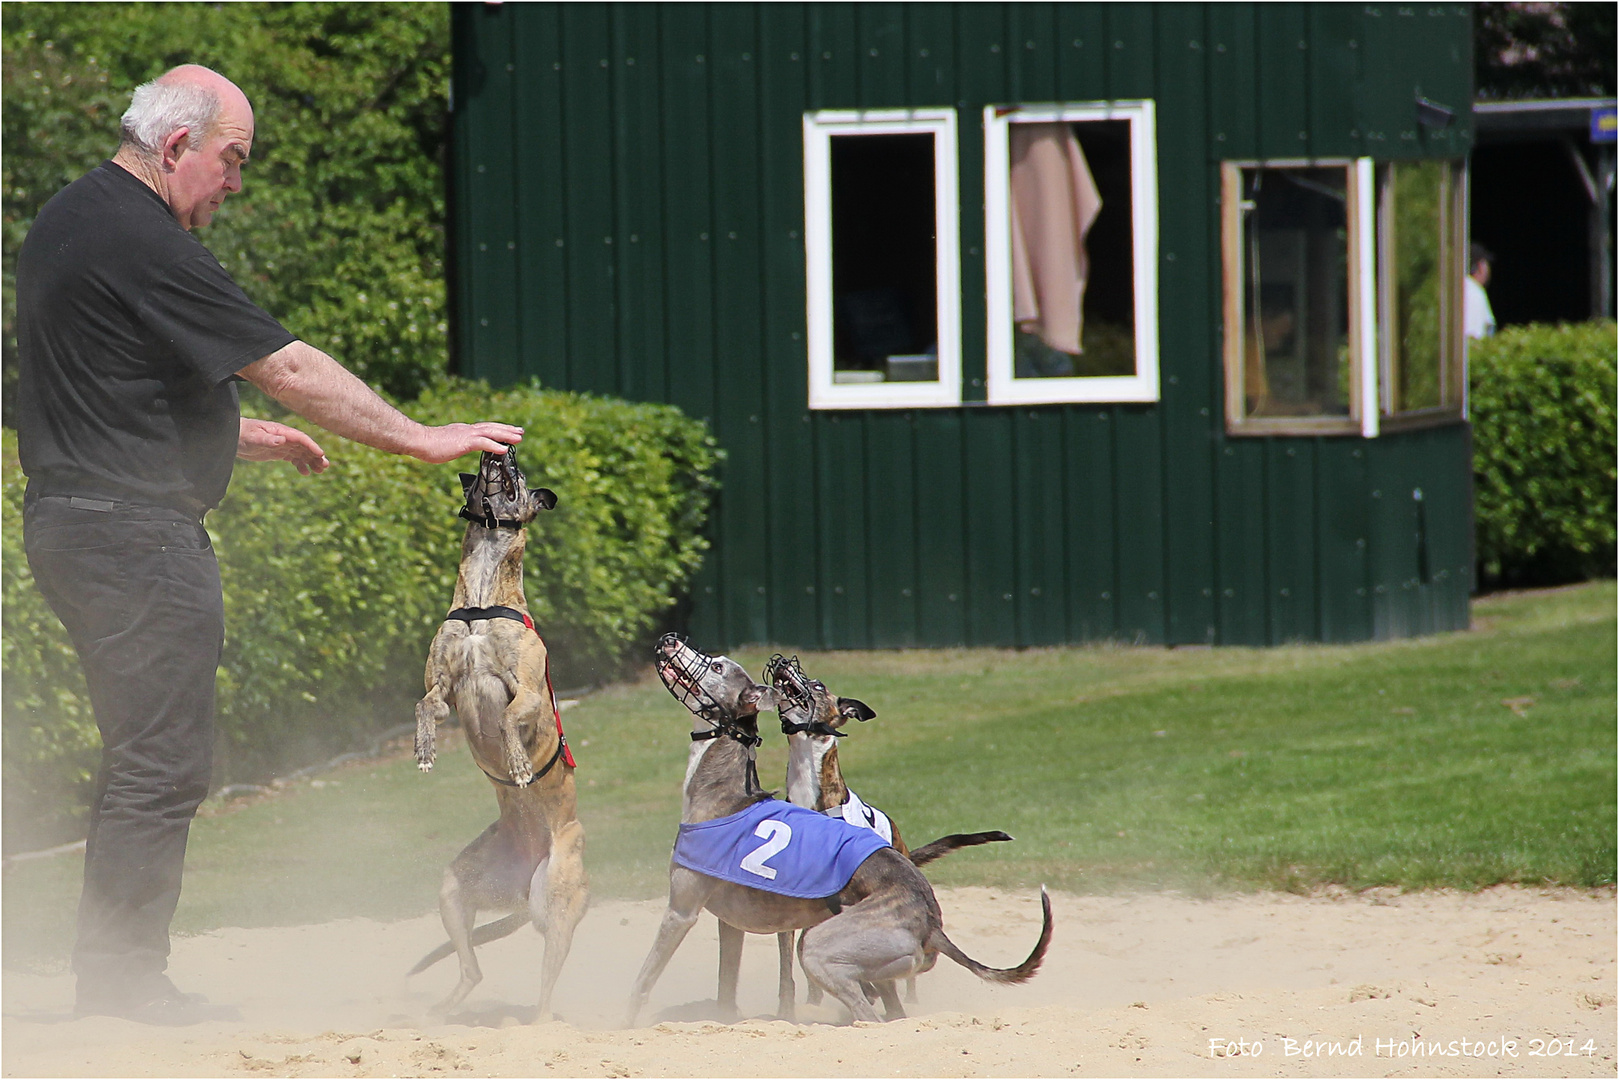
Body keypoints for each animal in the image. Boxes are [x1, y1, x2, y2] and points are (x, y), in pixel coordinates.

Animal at [404, 446, 589, 1023]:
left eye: (520, 476)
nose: (497, 449)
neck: (484, 598)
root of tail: (526, 873)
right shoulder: (443, 686)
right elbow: (423, 704)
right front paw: (424, 748)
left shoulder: (526, 688)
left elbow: (508, 717)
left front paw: (521, 764)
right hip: (458, 886)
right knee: (471, 968)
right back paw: (441, 1013)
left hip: (557, 899)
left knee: (547, 985)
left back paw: (537, 1023)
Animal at [624, 637, 1055, 1029]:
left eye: (715, 666)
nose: (668, 640)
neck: (723, 791)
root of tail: (931, 921)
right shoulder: (729, 924)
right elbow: (726, 988)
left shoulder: (681, 911)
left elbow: (644, 978)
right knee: (891, 1012)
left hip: (818, 946)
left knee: (869, 1014)